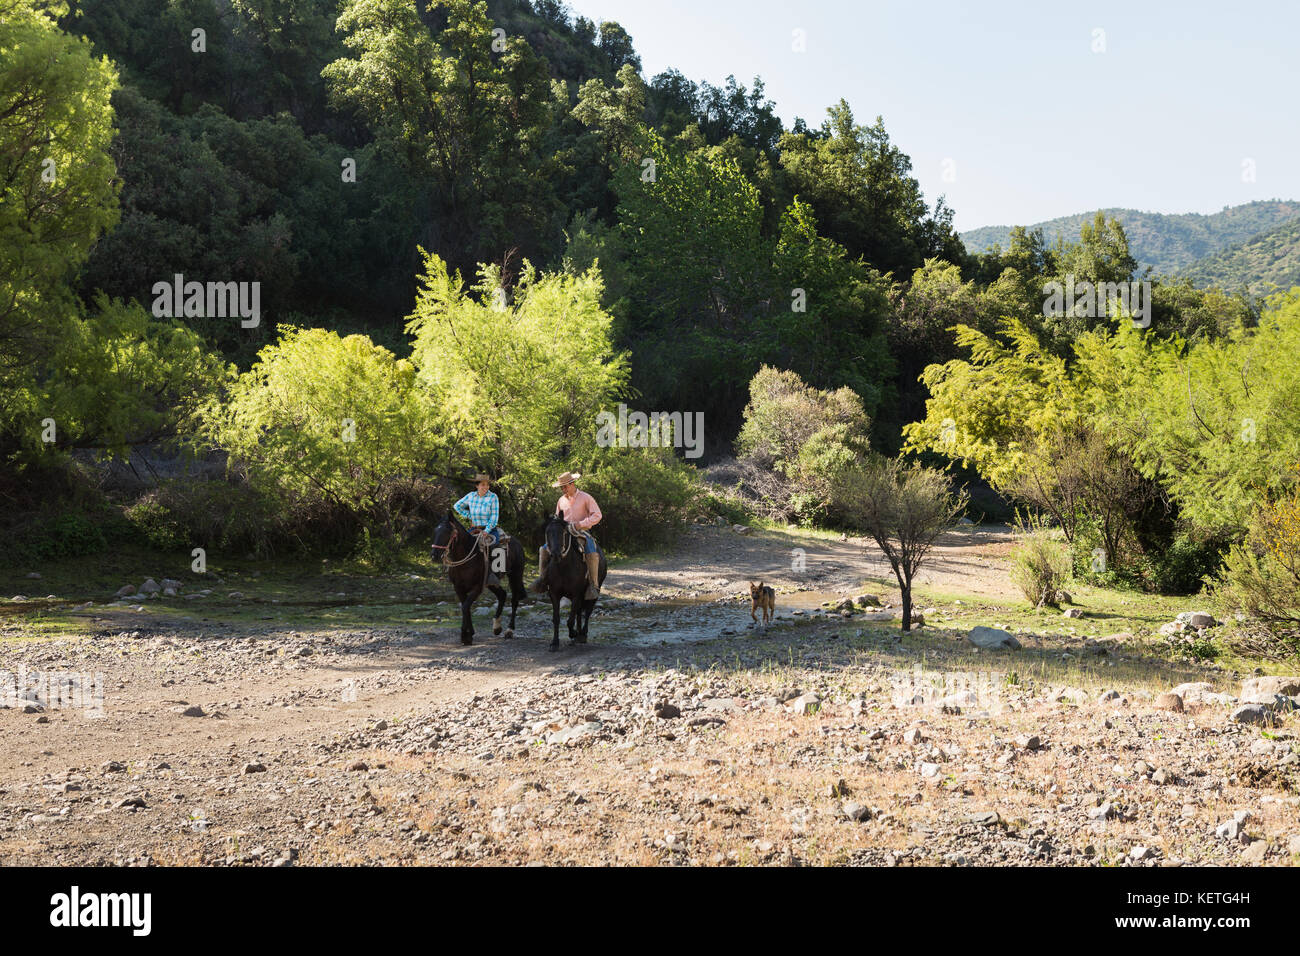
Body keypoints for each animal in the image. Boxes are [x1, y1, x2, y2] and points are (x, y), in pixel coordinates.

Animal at [431, 512, 522, 647]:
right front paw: (469, 634)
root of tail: (516, 541)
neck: (466, 560)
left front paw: (465, 636)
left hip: (515, 575)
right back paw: (497, 627)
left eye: (448, 532)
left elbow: (465, 607)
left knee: (514, 600)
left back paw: (509, 630)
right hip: (491, 583)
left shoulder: (477, 587)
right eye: (435, 531)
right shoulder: (458, 588)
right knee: (502, 594)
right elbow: (465, 607)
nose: (434, 556)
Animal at [535, 512, 605, 655]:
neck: (563, 568)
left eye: (564, 532)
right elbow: (556, 618)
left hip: (593, 592)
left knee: (587, 611)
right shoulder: (554, 594)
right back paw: (577, 635)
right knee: (579, 612)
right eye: (547, 532)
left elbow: (570, 620)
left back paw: (582, 634)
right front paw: (555, 643)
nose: (556, 554)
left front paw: (573, 633)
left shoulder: (577, 594)